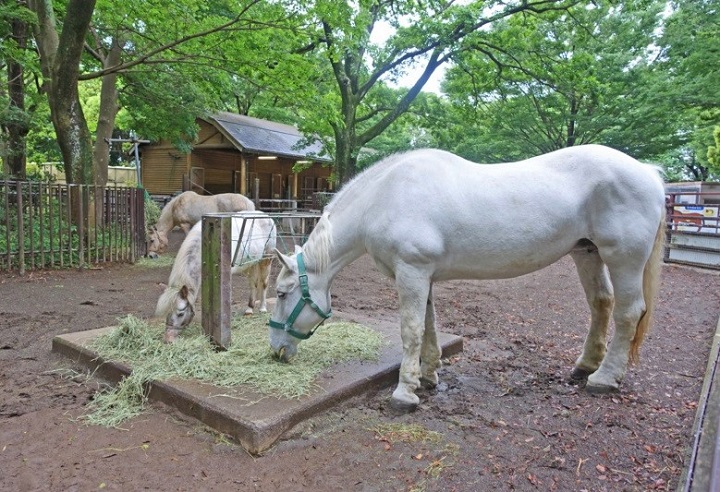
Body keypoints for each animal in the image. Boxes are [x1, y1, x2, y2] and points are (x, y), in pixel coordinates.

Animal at [156, 211, 278, 342]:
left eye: (181, 313)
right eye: (166, 312)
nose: (168, 338)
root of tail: (265, 215)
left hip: (266, 259)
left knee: (264, 283)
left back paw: (262, 308)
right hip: (251, 264)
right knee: (253, 284)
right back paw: (249, 309)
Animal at [268, 145, 668, 412]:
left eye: (283, 293)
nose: (275, 352)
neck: (384, 198)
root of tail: (647, 172)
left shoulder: (411, 272)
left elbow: (411, 329)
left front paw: (404, 392)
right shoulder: (422, 274)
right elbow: (428, 325)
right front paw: (427, 376)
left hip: (623, 259)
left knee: (628, 313)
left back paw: (604, 379)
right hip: (587, 253)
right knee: (601, 303)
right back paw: (586, 366)